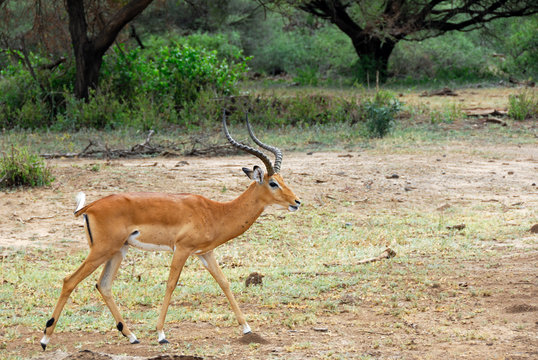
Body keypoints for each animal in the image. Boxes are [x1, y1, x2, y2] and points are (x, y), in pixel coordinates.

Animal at [40, 112, 302, 348]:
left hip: (118, 251)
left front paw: (247, 330)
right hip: (102, 250)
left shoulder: (205, 253)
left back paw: (132, 336)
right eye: (273, 183)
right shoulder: (182, 249)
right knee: (69, 280)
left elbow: (224, 282)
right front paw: (161, 335)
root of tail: (90, 206)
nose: (297, 201)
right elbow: (171, 284)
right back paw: (45, 339)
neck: (214, 212)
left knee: (103, 285)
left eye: (282, 179)